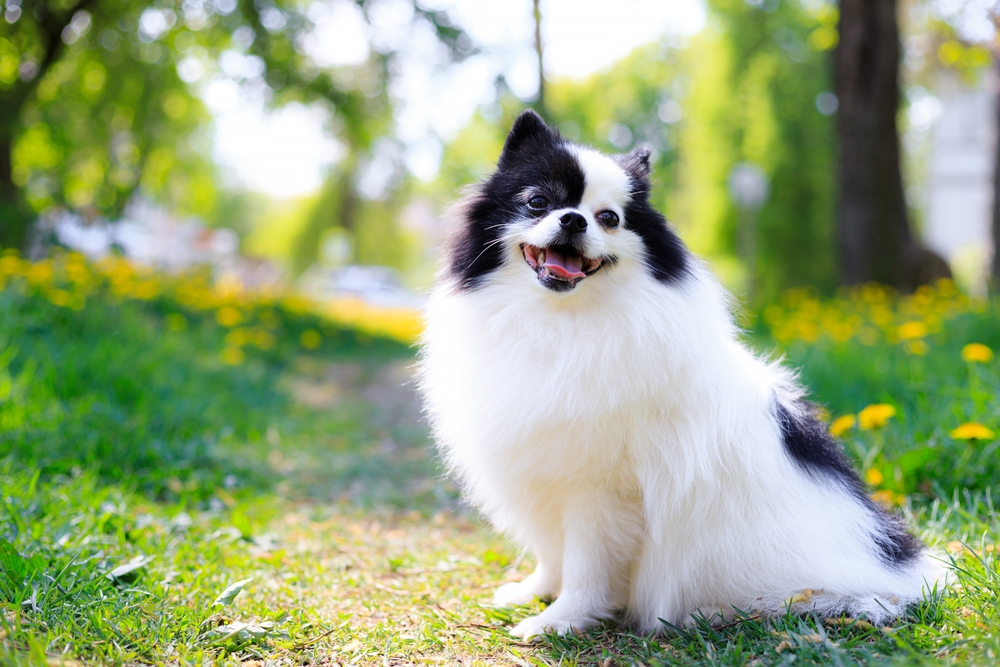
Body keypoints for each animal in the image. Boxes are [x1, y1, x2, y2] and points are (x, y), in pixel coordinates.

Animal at [416, 111, 944, 640]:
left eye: (609, 218)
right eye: (538, 202)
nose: (573, 219)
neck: (560, 321)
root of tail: (898, 571)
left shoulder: (599, 490)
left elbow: (585, 565)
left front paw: (559, 620)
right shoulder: (541, 472)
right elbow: (551, 552)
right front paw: (535, 592)